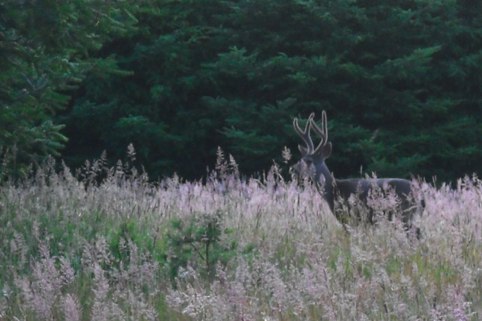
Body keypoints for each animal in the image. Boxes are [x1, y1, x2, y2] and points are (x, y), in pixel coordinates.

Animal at [290, 111, 422, 234]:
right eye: (301, 158)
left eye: (308, 161)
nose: (292, 169)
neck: (334, 190)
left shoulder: (351, 219)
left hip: (405, 214)